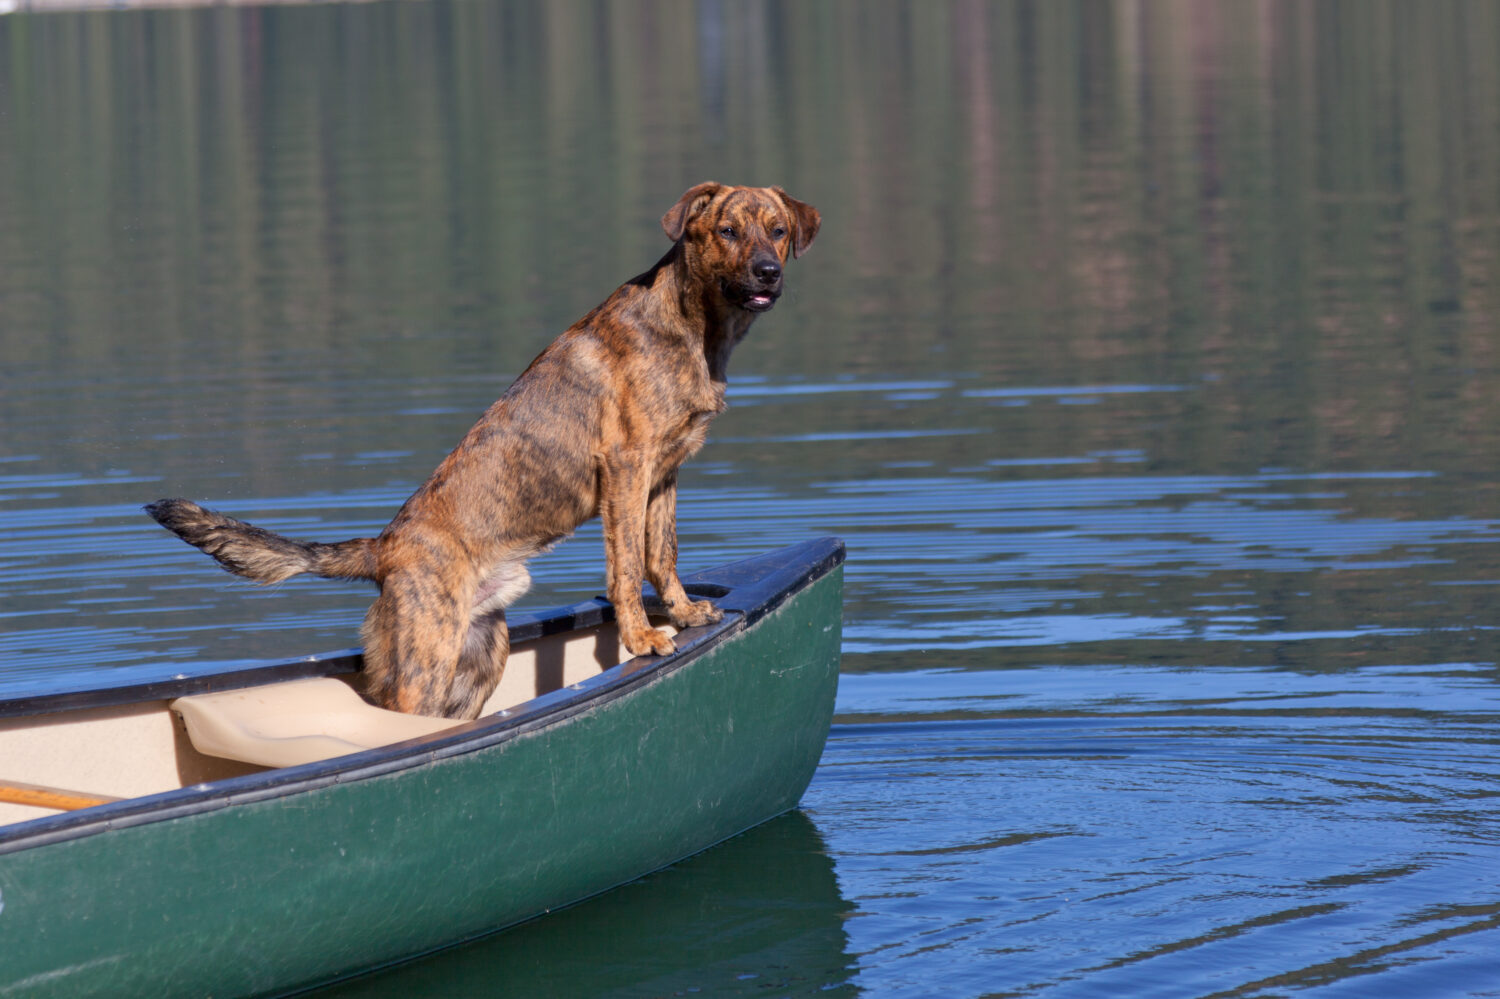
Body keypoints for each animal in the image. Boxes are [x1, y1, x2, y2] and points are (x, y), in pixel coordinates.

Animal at [146, 180, 822, 717]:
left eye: (777, 231)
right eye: (727, 231)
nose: (768, 272)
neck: (693, 325)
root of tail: (383, 549)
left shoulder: (665, 474)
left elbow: (663, 554)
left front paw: (682, 613)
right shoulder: (627, 468)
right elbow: (626, 567)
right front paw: (642, 638)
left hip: (480, 655)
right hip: (427, 662)